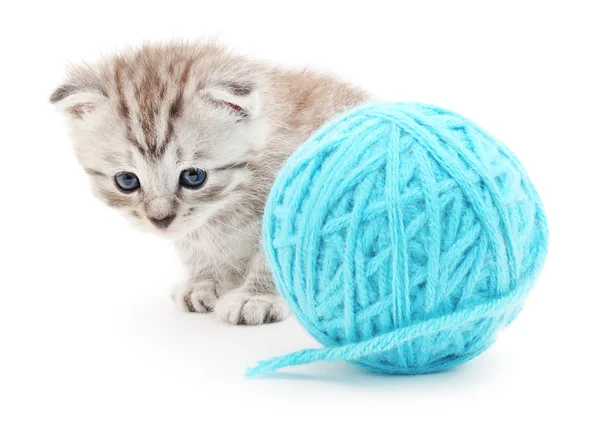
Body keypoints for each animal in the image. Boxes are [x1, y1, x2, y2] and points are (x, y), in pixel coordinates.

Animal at [51, 40, 370, 324]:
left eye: (194, 177)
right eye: (127, 180)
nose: (160, 220)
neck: (228, 204)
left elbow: (275, 257)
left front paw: (257, 296)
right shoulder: (194, 227)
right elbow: (197, 247)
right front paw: (204, 282)